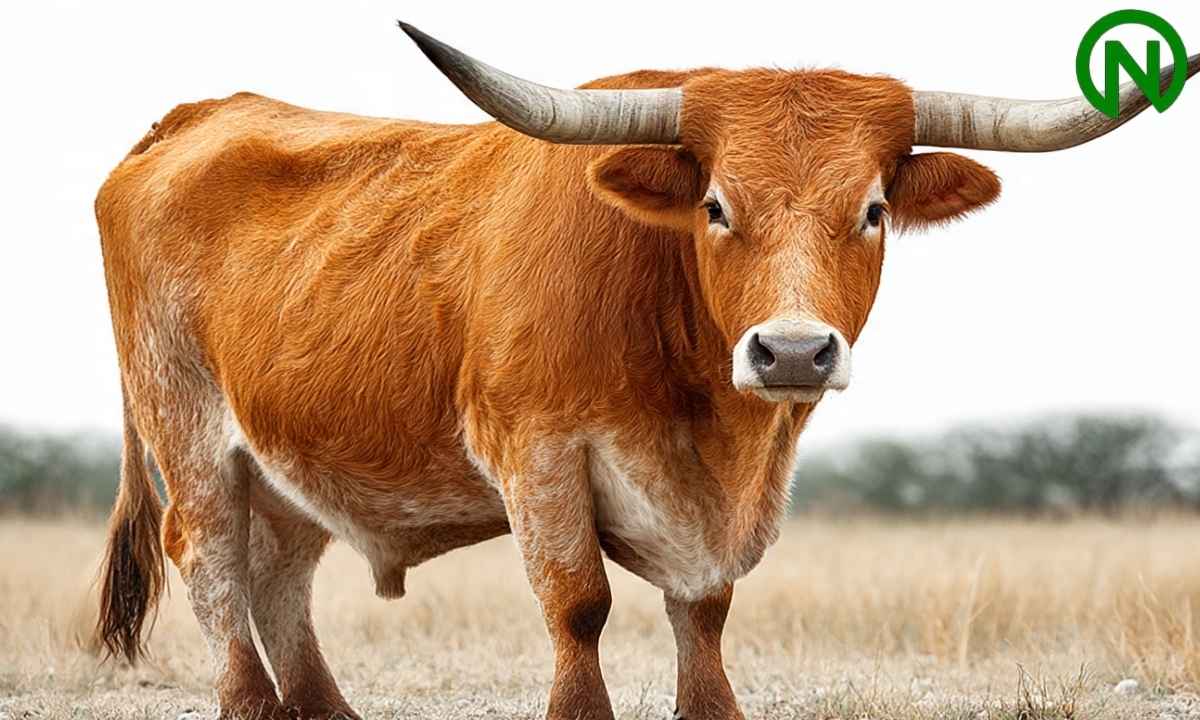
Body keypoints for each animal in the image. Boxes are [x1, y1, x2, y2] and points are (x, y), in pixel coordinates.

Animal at [93, 22, 1198, 720]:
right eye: (714, 204)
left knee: (281, 570)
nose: (792, 350)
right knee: (216, 569)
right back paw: (250, 703)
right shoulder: (538, 452)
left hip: (290, 459)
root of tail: (192, 117)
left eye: (874, 209)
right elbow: (579, 606)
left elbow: (703, 616)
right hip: (187, 430)